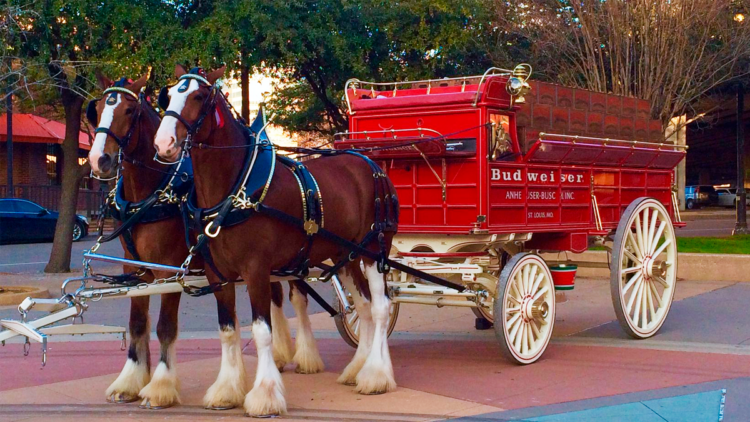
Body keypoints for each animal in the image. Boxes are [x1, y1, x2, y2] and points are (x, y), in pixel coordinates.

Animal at [153, 64, 398, 416]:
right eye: (170, 94)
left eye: (198, 97)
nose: (164, 142)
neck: (236, 189)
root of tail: (370, 164)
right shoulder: (218, 275)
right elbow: (227, 331)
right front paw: (226, 390)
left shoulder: (256, 270)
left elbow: (261, 331)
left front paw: (265, 395)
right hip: (346, 255)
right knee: (364, 307)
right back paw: (359, 368)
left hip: (373, 251)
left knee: (380, 308)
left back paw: (377, 375)